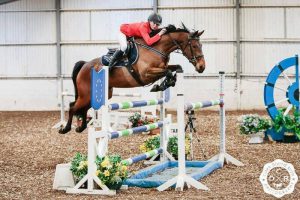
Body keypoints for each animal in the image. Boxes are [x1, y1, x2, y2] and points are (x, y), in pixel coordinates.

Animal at [59, 25, 205, 134]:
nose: (202, 67)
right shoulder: (146, 74)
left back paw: (80, 127)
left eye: (201, 45)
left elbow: (175, 68)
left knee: (82, 108)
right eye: (195, 46)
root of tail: (84, 65)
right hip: (86, 94)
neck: (156, 48)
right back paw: (65, 129)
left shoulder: (160, 69)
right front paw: (161, 85)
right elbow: (168, 72)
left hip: (99, 94)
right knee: (72, 106)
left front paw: (163, 84)